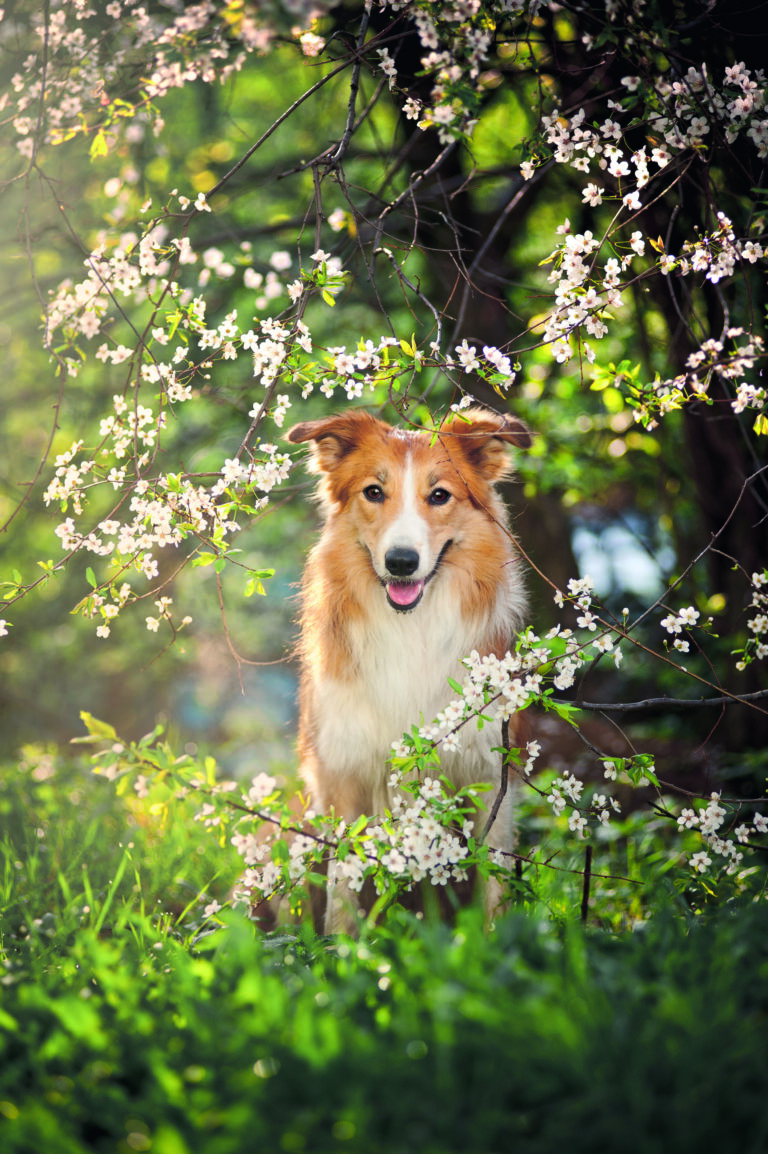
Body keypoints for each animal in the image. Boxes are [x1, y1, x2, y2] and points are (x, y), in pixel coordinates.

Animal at [283, 406, 530, 927]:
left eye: (439, 495)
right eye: (374, 492)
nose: (401, 562)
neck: (410, 627)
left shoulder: (487, 773)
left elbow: (494, 883)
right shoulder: (345, 773)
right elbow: (342, 889)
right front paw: (339, 943)